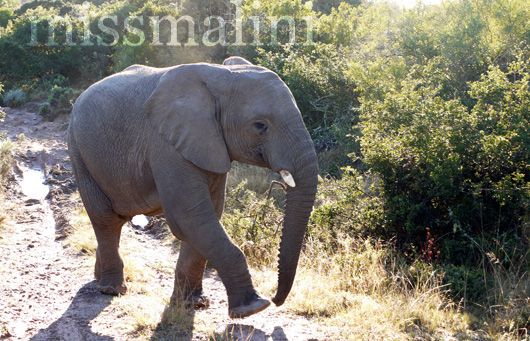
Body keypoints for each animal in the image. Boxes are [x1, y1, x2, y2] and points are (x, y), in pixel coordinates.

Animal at [65, 54, 314, 318]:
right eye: (260, 126)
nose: (276, 299)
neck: (220, 78)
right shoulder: (166, 145)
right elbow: (191, 216)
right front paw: (252, 308)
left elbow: (207, 215)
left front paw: (193, 304)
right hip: (78, 150)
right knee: (106, 219)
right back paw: (111, 290)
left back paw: (98, 278)